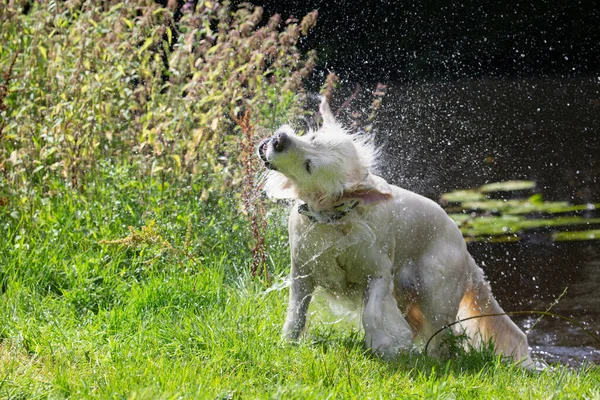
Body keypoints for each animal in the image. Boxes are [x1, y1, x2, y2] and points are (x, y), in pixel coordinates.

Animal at [255, 98, 532, 368]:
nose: (279, 140)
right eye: (312, 138)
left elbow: (372, 313)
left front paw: (384, 345)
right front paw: (287, 342)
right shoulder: (302, 271)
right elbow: (296, 313)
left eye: (309, 166)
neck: (336, 220)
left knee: (443, 337)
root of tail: (467, 255)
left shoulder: (379, 272)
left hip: (435, 294)